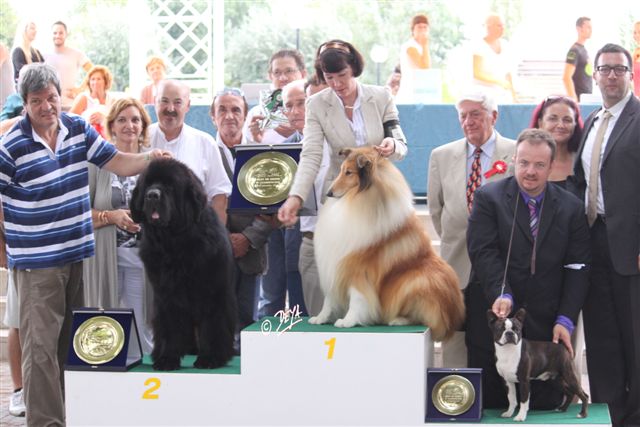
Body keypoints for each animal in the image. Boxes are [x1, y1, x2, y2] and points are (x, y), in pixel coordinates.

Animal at [130, 157, 237, 371]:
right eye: (148, 184)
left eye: (170, 186)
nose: (152, 195)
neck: (174, 243)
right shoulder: (167, 295)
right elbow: (170, 327)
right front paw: (167, 359)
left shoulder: (213, 292)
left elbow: (212, 324)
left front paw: (210, 358)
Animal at [310, 146, 464, 341]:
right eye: (341, 170)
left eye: (349, 172)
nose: (329, 193)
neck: (357, 200)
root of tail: (454, 313)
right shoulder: (335, 261)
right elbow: (329, 299)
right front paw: (321, 318)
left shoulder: (359, 268)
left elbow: (357, 297)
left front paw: (348, 321)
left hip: (417, 281)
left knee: (426, 318)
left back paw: (398, 320)